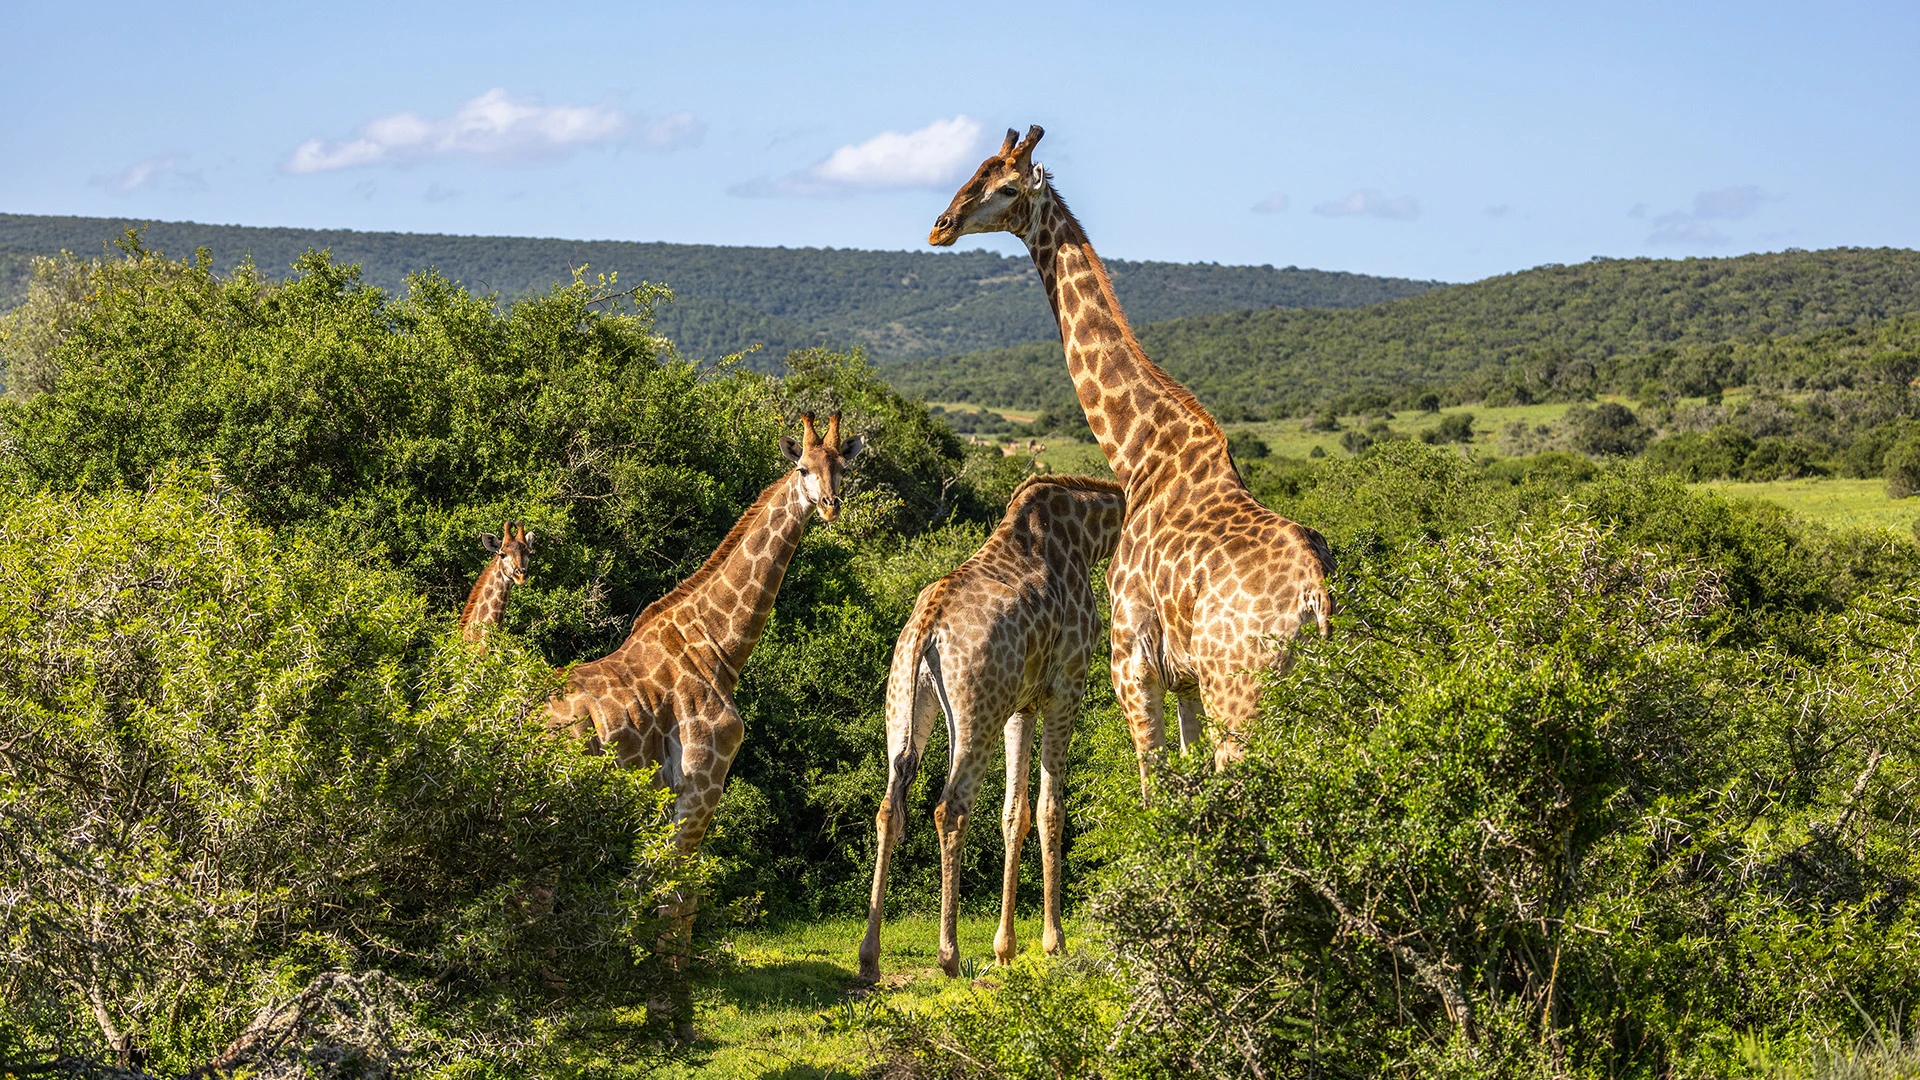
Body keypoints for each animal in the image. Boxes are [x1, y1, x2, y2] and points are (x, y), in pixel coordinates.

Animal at [545, 413, 864, 1032]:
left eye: (845, 466)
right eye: (802, 468)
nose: (830, 506)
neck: (720, 647)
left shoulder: (674, 792)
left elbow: (669, 892)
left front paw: (666, 1006)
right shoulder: (701, 782)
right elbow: (679, 895)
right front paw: (670, 1014)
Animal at [858, 475, 1126, 982]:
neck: (1088, 533)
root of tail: (928, 628)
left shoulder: (1021, 705)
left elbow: (1013, 813)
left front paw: (1006, 949)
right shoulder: (1066, 685)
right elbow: (1050, 810)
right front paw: (1054, 944)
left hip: (904, 702)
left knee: (888, 808)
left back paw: (869, 958)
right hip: (976, 713)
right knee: (951, 809)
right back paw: (948, 955)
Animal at [930, 127, 1334, 783]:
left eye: (1008, 187)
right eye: (974, 171)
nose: (941, 226)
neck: (1140, 453)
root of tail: (1315, 598)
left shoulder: (1131, 660)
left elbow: (1155, 785)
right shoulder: (1185, 680)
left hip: (1242, 697)